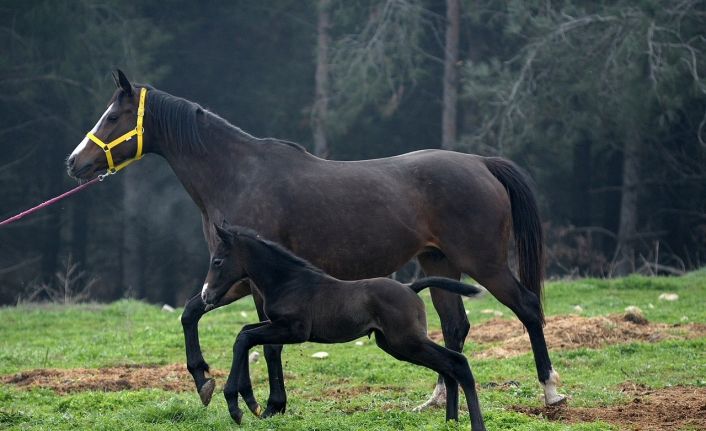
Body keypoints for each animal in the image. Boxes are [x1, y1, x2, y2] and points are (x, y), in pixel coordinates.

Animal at [66, 71, 560, 418]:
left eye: (112, 117)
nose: (74, 162)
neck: (238, 174)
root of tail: (481, 162)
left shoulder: (252, 279)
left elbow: (266, 342)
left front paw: (265, 402)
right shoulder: (233, 277)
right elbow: (194, 313)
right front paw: (208, 382)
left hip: (485, 263)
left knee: (528, 307)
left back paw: (551, 391)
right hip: (440, 265)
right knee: (455, 329)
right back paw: (436, 401)